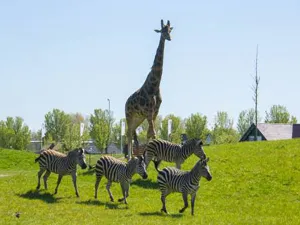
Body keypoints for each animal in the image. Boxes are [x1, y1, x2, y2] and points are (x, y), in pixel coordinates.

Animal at [125, 19, 173, 157]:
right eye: (162, 31)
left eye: (169, 30)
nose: (169, 37)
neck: (155, 85)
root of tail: (126, 102)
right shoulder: (149, 111)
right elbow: (153, 133)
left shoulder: (155, 111)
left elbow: (150, 133)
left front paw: (149, 154)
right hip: (129, 115)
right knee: (128, 133)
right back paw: (129, 157)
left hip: (138, 118)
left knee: (132, 132)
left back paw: (132, 155)